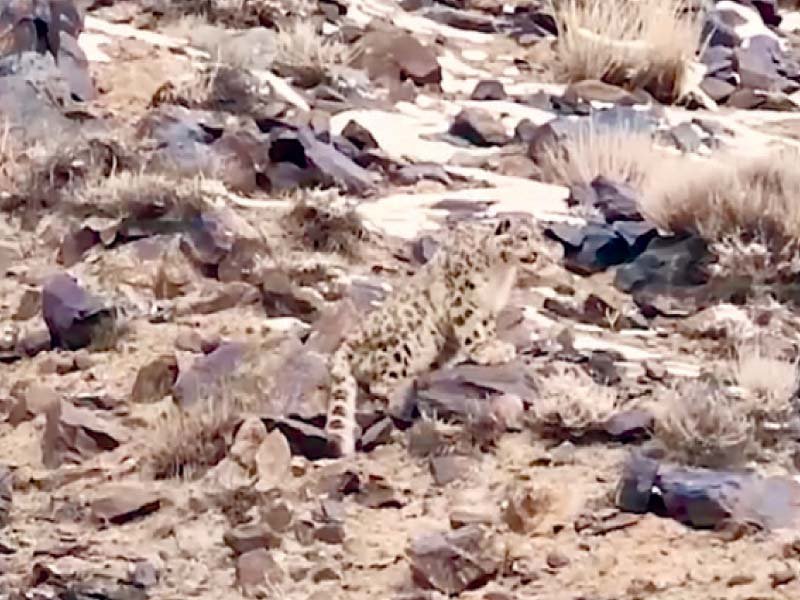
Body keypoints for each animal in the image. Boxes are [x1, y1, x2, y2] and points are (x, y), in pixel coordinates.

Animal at [324, 215, 540, 457]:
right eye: (523, 236)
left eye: (539, 236)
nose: (537, 252)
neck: (501, 272)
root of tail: (345, 345)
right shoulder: (464, 300)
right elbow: (473, 330)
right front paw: (488, 350)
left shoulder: (489, 307)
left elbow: (488, 327)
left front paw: (496, 345)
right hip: (409, 341)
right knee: (379, 382)